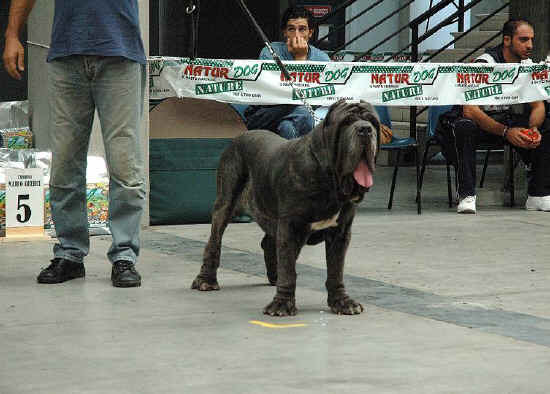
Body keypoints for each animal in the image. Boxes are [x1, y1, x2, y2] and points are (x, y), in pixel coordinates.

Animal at [193, 99, 380, 318]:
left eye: (373, 121)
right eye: (347, 121)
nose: (365, 130)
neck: (329, 178)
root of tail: (240, 135)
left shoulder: (340, 233)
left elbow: (335, 269)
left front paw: (342, 302)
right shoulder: (290, 227)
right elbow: (289, 269)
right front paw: (282, 304)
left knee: (268, 243)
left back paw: (274, 276)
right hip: (226, 202)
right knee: (214, 241)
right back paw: (206, 280)